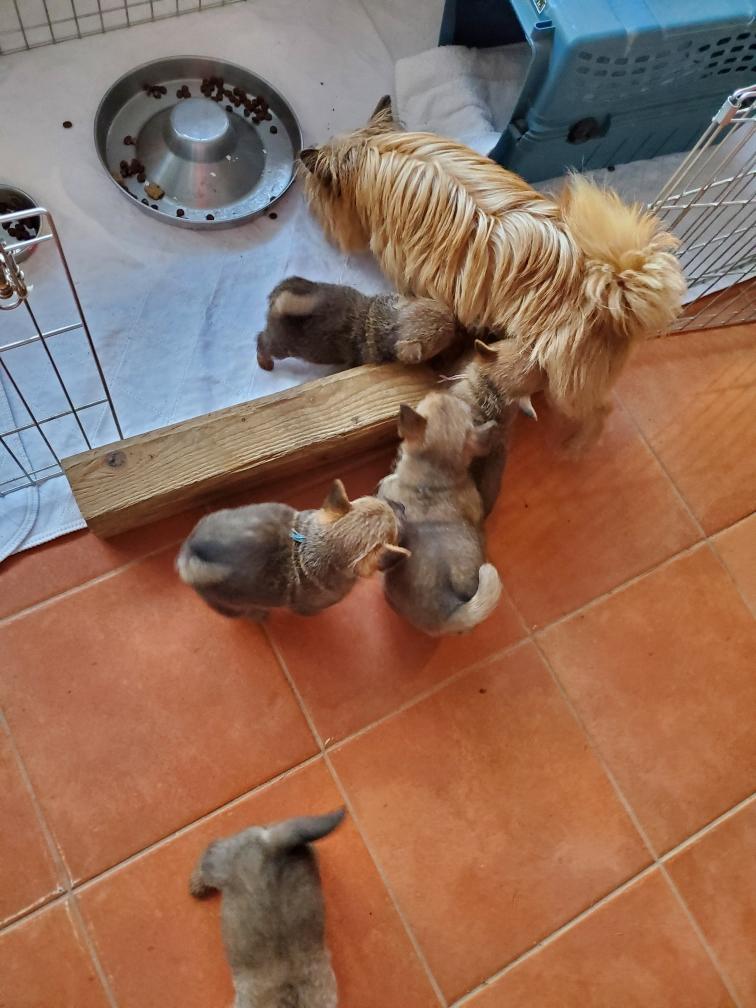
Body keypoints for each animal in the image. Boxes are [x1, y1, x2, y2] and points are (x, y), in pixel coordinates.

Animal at [256, 275, 462, 371]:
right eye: (444, 335)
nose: (455, 321)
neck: (381, 322)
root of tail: (279, 304)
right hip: (281, 347)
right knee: (261, 342)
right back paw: (265, 362)